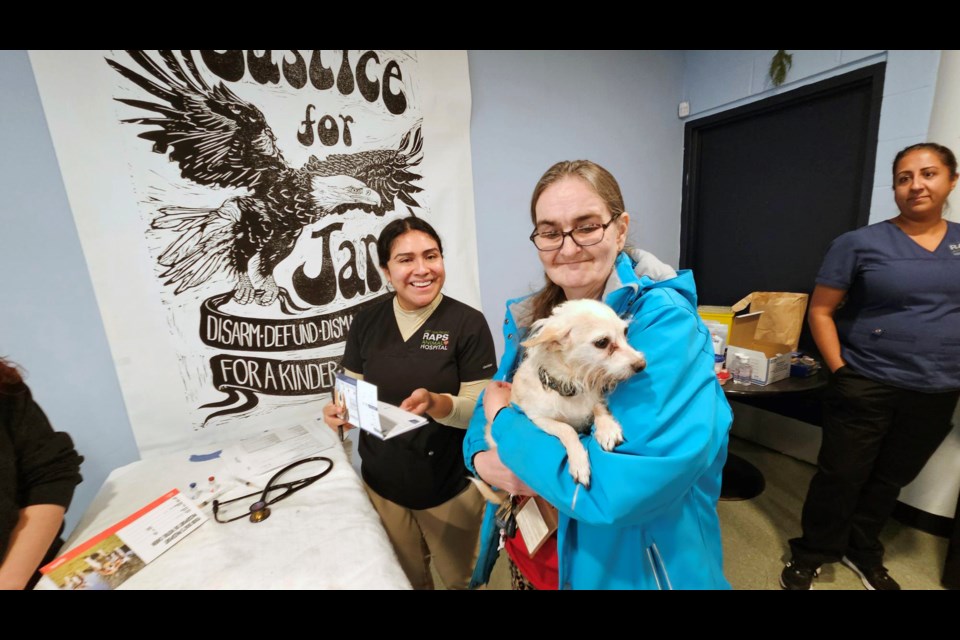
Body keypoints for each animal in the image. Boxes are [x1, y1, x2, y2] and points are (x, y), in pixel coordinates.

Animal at [488, 298, 644, 488]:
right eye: (602, 342)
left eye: (625, 331)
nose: (642, 364)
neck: (571, 386)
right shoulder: (539, 418)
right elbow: (567, 429)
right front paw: (579, 462)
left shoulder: (593, 397)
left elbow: (597, 407)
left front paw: (607, 429)